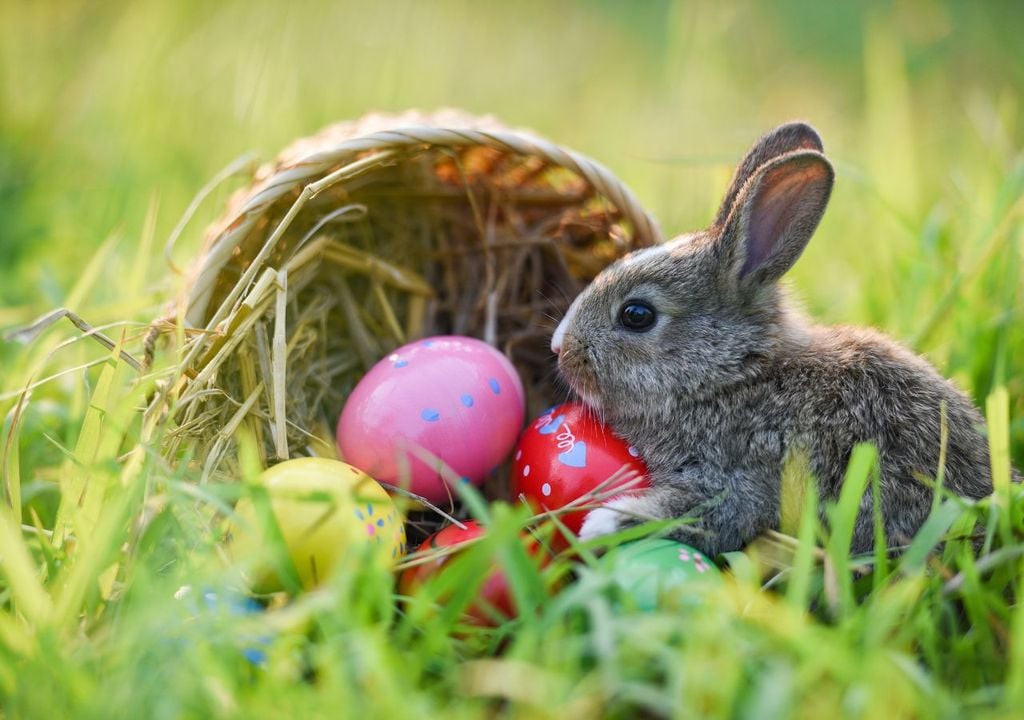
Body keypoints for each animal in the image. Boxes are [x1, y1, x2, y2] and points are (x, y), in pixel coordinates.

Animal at [548, 120, 1003, 557]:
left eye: (637, 315)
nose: (559, 348)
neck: (732, 377)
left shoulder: (738, 478)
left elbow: (708, 513)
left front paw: (599, 525)